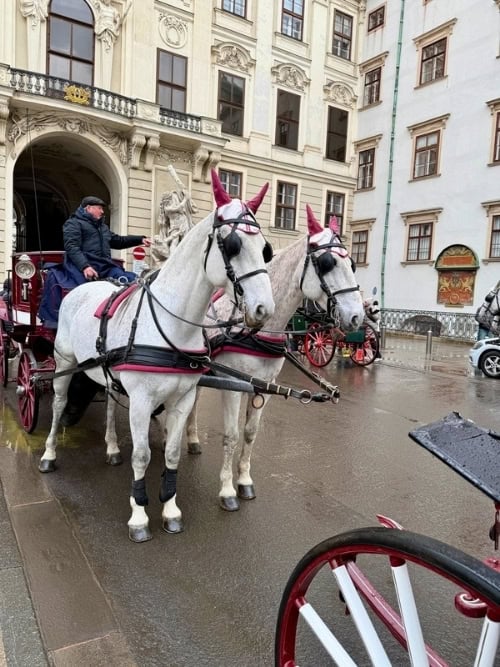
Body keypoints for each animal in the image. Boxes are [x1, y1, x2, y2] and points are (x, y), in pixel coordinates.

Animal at [38, 169, 276, 542]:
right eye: (232, 245)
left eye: (264, 248)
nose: (264, 309)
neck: (171, 325)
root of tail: (85, 284)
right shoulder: (141, 400)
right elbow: (141, 455)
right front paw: (139, 515)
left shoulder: (182, 399)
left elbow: (174, 453)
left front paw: (170, 509)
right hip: (64, 362)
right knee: (60, 403)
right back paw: (49, 453)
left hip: (106, 373)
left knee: (108, 404)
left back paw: (110, 448)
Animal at [184, 205, 365, 511]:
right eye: (327, 264)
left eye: (351, 264)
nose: (357, 316)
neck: (256, 330)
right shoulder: (232, 385)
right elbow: (231, 436)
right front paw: (227, 490)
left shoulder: (265, 387)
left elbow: (250, 433)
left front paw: (244, 480)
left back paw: (193, 439)